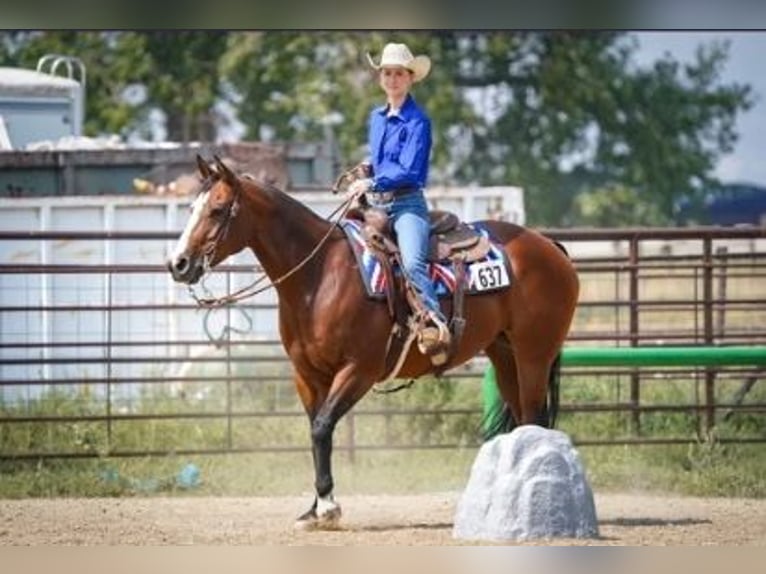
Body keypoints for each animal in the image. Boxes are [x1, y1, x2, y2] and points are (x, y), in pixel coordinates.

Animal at [167, 155, 579, 530]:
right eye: (191, 208)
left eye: (218, 209)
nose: (178, 264)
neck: (319, 275)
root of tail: (549, 245)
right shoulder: (308, 375)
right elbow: (316, 432)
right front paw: (313, 509)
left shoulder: (358, 370)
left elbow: (322, 428)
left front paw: (328, 507)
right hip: (504, 354)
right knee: (526, 420)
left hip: (534, 354)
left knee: (536, 418)